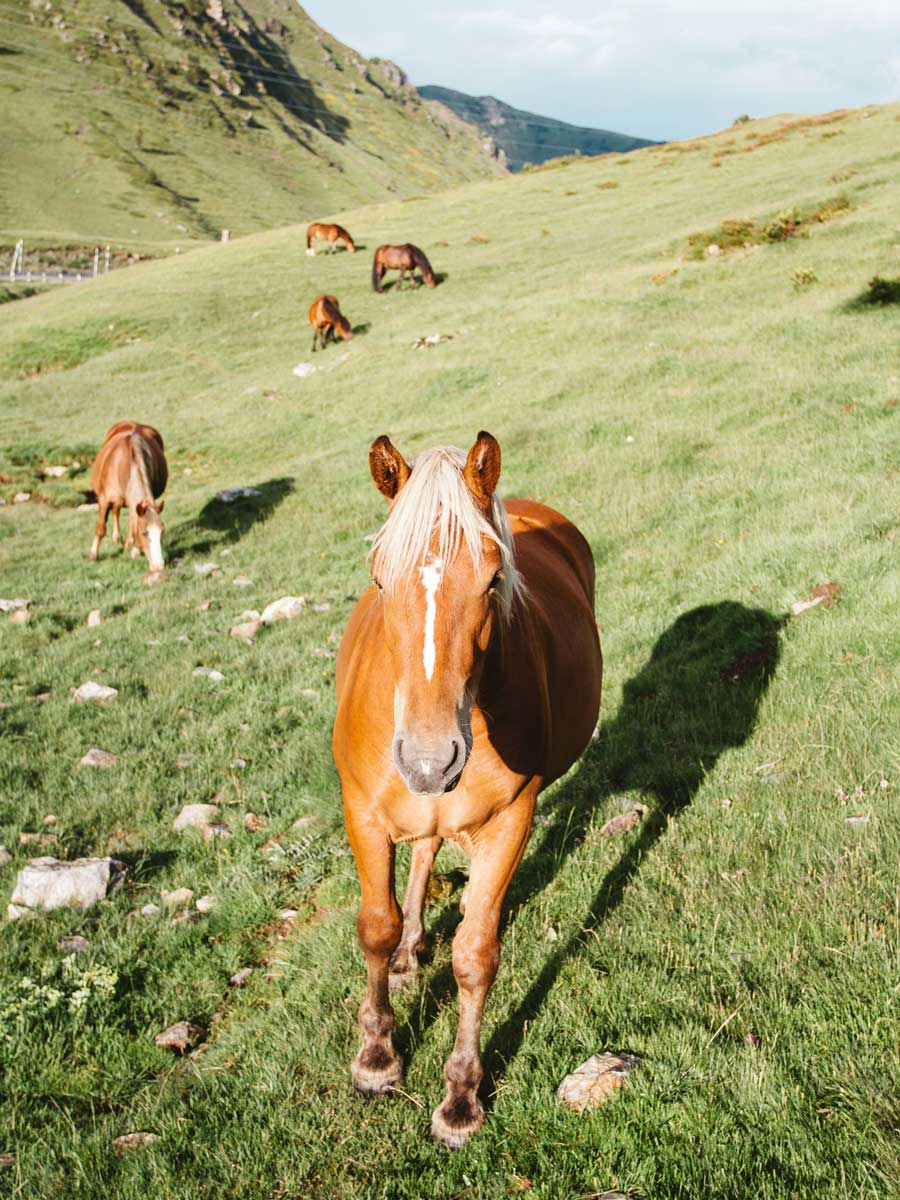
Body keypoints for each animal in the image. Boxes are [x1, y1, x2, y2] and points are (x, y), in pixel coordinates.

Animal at [89, 421, 168, 573]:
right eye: (144, 533)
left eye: (162, 532)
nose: (158, 566)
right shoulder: (103, 499)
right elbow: (101, 528)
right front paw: (93, 554)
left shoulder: (135, 504)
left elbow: (133, 523)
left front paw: (134, 548)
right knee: (115, 511)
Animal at [332, 432, 602, 1147]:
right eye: (378, 578)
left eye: (491, 579)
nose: (429, 760)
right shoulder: (362, 813)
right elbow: (374, 926)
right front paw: (376, 1058)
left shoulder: (510, 821)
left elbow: (475, 955)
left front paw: (460, 1096)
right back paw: (408, 950)